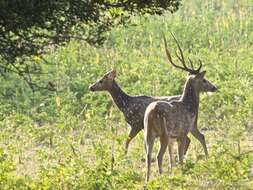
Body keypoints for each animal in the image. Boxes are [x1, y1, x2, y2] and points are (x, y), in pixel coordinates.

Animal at [144, 33, 217, 182]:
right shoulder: (183, 132)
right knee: (158, 156)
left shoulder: (179, 135)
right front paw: (182, 172)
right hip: (164, 133)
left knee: (148, 156)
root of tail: (152, 113)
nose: (214, 87)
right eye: (204, 80)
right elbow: (181, 157)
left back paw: (147, 181)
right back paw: (162, 177)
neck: (189, 107)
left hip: (148, 133)